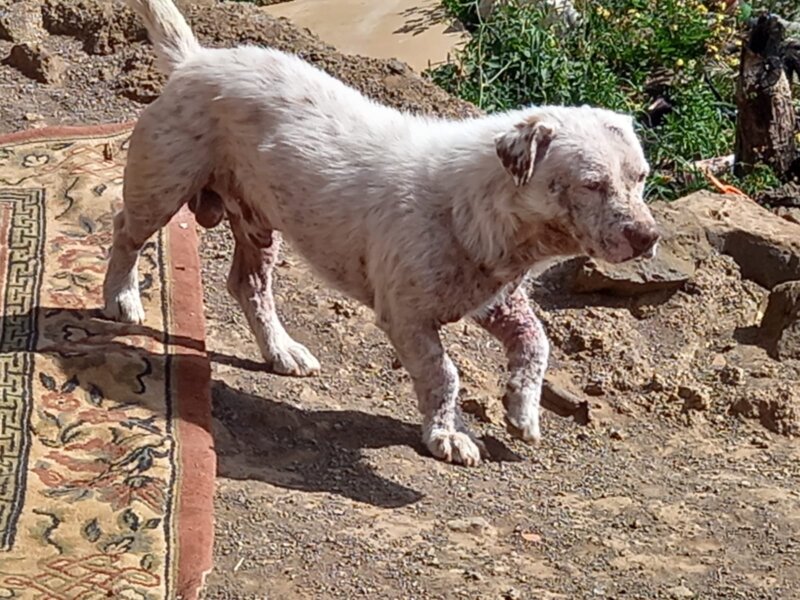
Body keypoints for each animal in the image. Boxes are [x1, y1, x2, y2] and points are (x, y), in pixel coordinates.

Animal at [104, 0, 656, 464]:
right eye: (592, 184)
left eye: (641, 177)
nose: (649, 238)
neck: (471, 207)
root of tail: (194, 60)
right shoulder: (407, 317)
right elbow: (443, 373)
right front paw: (447, 435)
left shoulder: (497, 299)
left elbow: (536, 342)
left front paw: (522, 410)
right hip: (161, 185)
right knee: (125, 232)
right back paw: (122, 297)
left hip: (257, 223)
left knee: (248, 285)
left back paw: (281, 350)